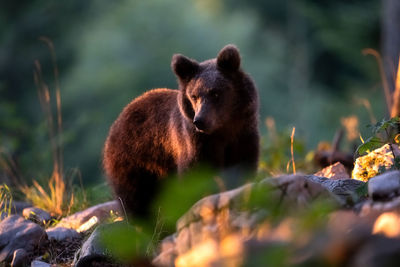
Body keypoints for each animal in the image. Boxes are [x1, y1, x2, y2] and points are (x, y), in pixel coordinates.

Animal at [103, 45, 260, 218]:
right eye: (194, 96)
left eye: (216, 93)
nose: (200, 120)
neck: (222, 130)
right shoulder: (195, 144)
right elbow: (194, 176)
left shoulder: (242, 135)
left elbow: (242, 166)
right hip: (136, 161)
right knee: (137, 198)